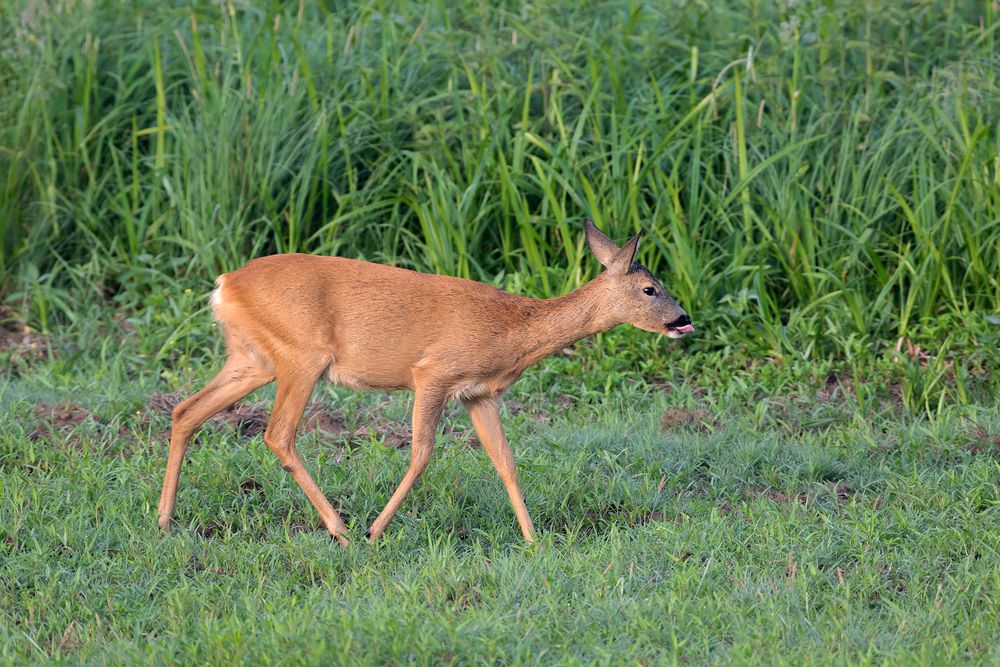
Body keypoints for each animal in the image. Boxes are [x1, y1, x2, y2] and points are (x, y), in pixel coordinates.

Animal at [156, 219, 696, 544]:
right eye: (650, 288)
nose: (683, 319)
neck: (513, 330)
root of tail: (224, 284)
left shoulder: (480, 394)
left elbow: (506, 463)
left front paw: (534, 541)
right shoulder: (432, 374)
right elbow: (421, 455)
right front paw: (375, 532)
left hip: (253, 358)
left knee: (186, 411)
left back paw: (164, 519)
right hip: (301, 356)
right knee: (277, 434)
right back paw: (342, 529)